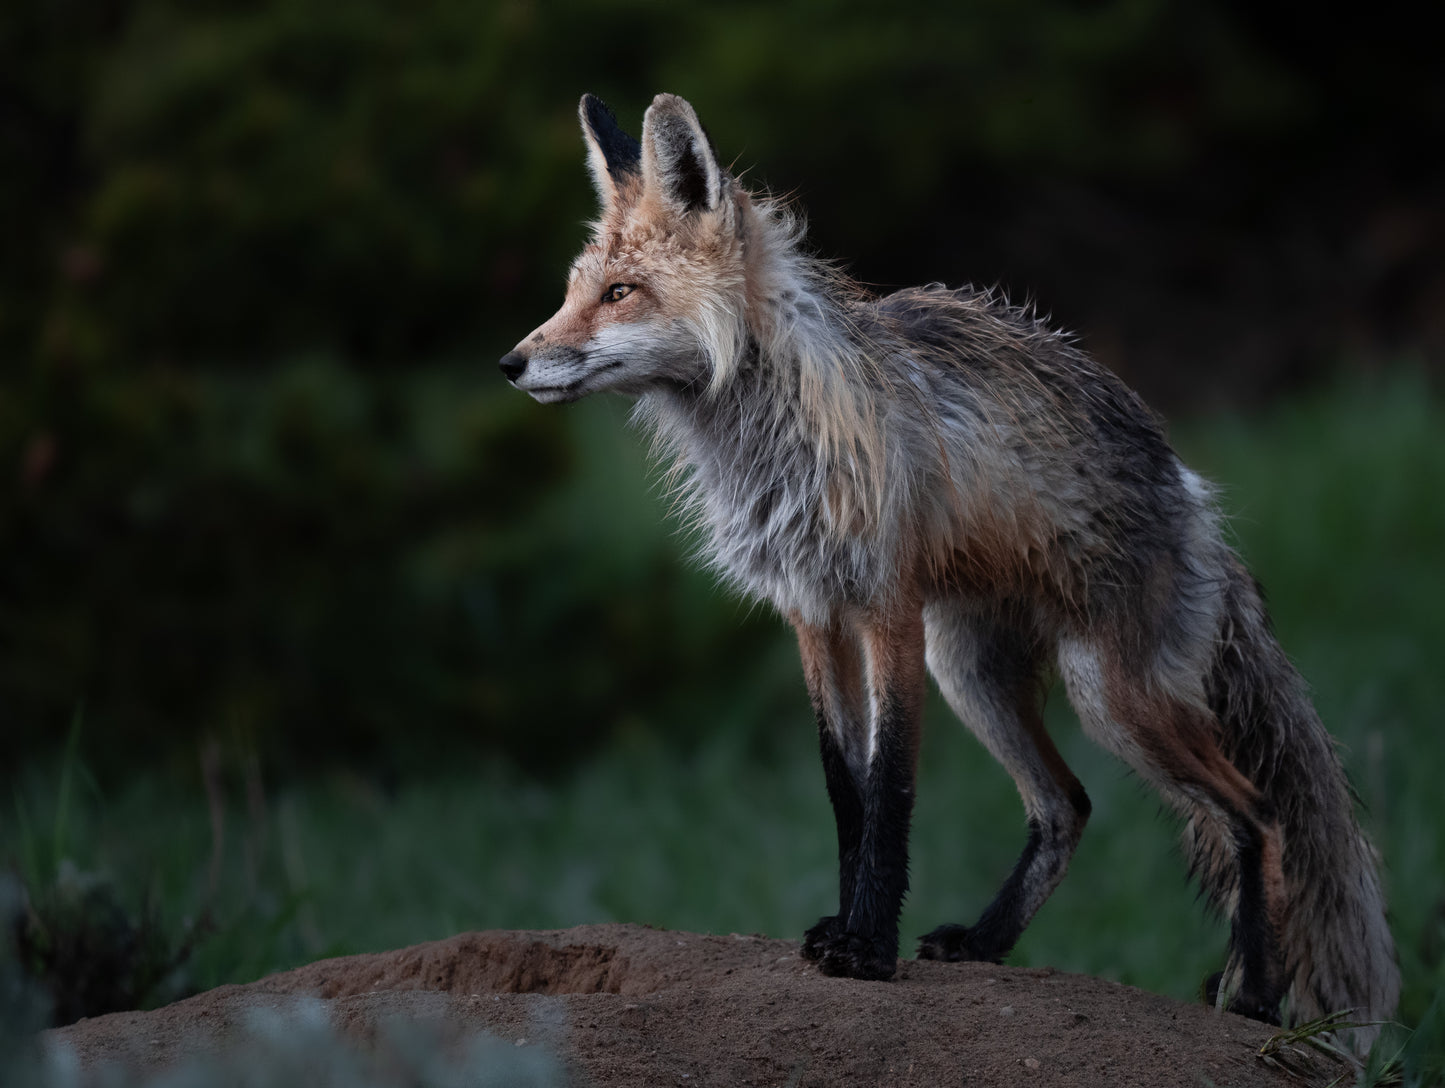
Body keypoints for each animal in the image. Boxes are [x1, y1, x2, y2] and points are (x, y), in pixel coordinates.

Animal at [499, 92, 1400, 1051]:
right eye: (571, 291)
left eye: (619, 293)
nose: (509, 363)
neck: (776, 436)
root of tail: (1191, 496)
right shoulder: (811, 613)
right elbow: (844, 790)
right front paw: (846, 926)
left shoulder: (886, 606)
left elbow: (891, 791)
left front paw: (866, 947)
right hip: (974, 675)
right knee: (1067, 806)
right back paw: (985, 942)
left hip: (1107, 697)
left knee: (1255, 815)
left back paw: (1255, 994)